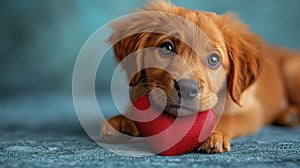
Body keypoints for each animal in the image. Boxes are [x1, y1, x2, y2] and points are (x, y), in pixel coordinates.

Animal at [101, 0, 300, 154]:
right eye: (167, 47)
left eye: (214, 59)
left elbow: (227, 118)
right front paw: (123, 121)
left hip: (292, 70)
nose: (186, 88)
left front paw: (214, 134)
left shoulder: (251, 110)